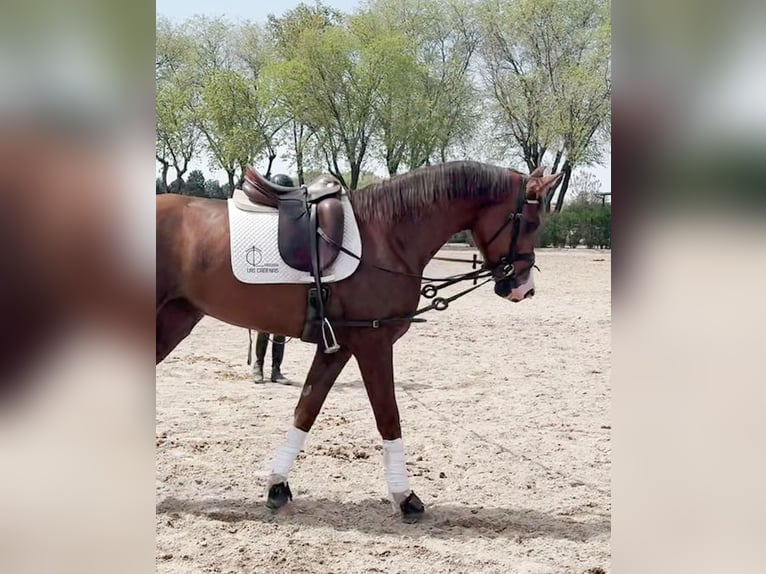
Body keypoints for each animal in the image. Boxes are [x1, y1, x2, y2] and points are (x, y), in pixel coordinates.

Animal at [156, 160, 563, 522]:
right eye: (531, 222)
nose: (523, 289)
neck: (386, 234)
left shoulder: (338, 347)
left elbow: (306, 409)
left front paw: (277, 486)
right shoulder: (373, 344)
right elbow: (388, 416)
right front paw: (405, 498)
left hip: (176, 319)